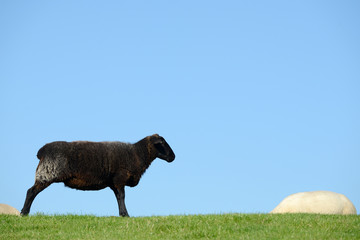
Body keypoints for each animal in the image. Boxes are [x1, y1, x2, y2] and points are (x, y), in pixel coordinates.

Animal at [21, 134, 176, 217]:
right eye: (162, 143)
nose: (173, 157)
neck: (137, 154)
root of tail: (42, 151)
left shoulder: (113, 183)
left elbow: (118, 197)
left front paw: (122, 214)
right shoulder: (120, 178)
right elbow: (122, 196)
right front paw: (126, 215)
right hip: (47, 174)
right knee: (31, 192)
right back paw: (24, 212)